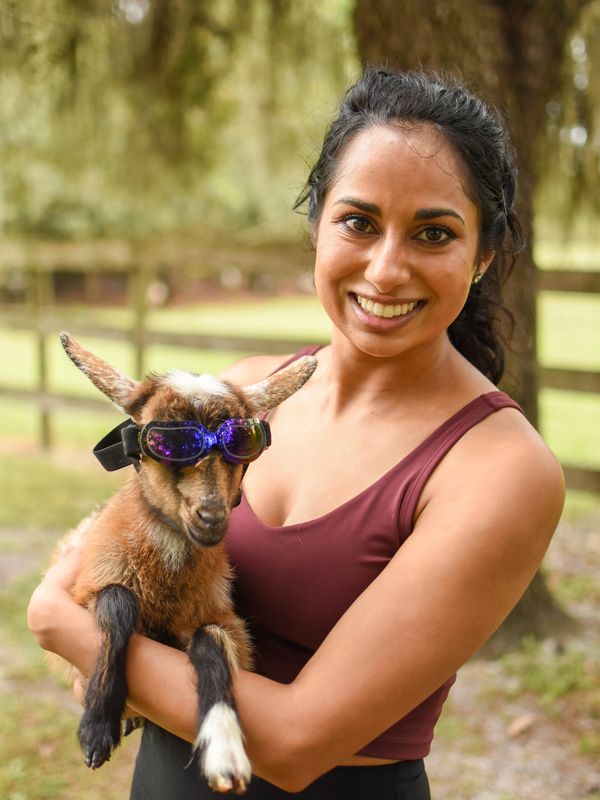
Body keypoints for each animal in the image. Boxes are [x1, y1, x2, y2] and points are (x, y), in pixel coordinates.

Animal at [53, 332, 316, 792]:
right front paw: (97, 729)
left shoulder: (224, 620)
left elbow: (211, 641)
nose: (210, 516)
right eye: (166, 444)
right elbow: (118, 603)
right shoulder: (87, 586)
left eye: (242, 444)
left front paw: (224, 747)